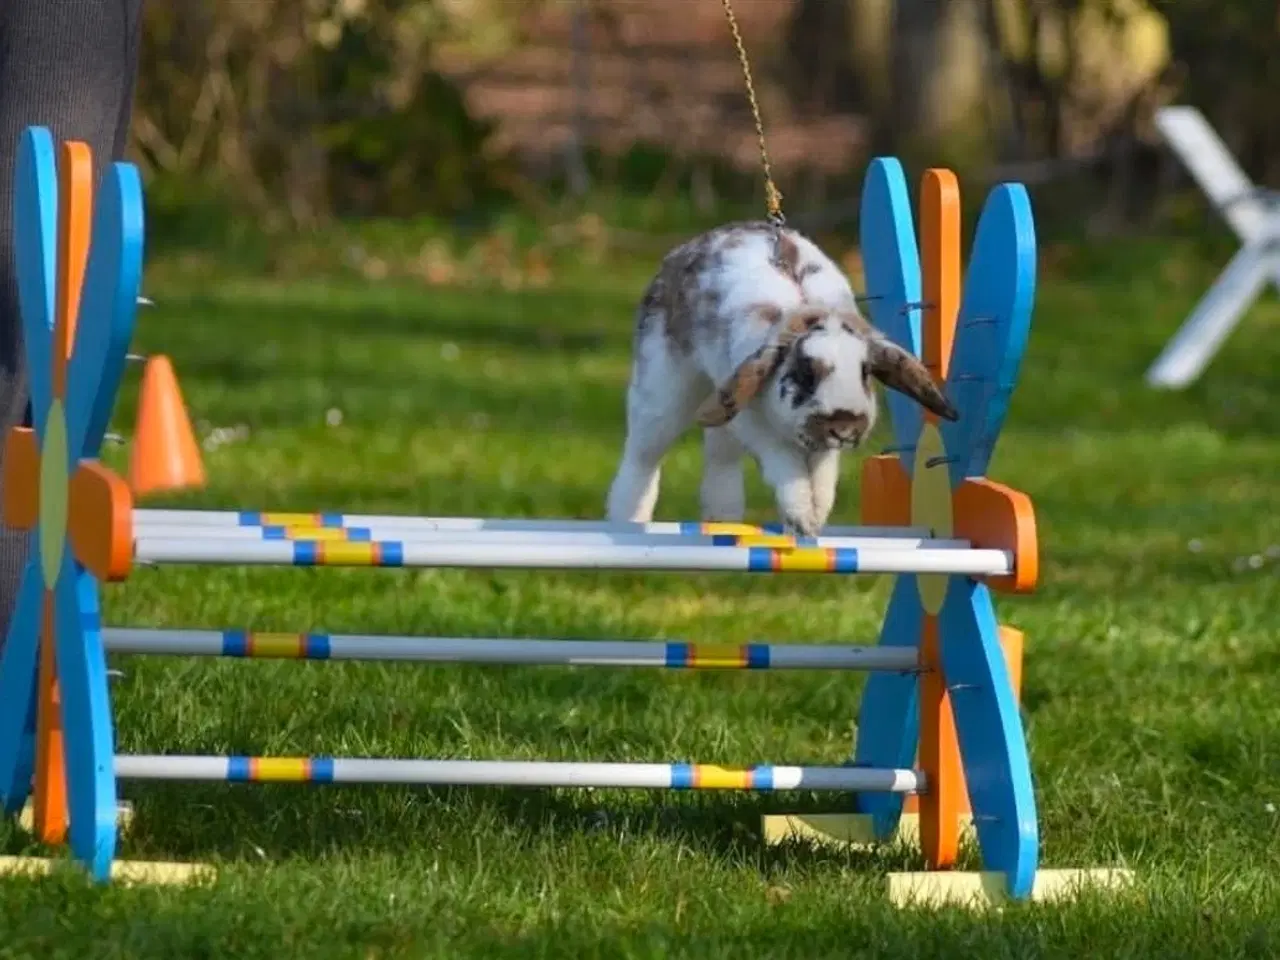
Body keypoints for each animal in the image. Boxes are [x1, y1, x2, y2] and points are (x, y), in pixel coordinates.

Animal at [604, 220, 957, 542]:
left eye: (865, 372)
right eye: (805, 374)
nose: (844, 424)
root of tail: (683, 251)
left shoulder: (821, 452)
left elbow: (823, 479)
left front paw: (817, 518)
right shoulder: (757, 428)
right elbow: (787, 469)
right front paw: (802, 521)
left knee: (720, 457)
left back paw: (722, 519)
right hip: (663, 395)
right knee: (642, 458)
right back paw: (627, 521)